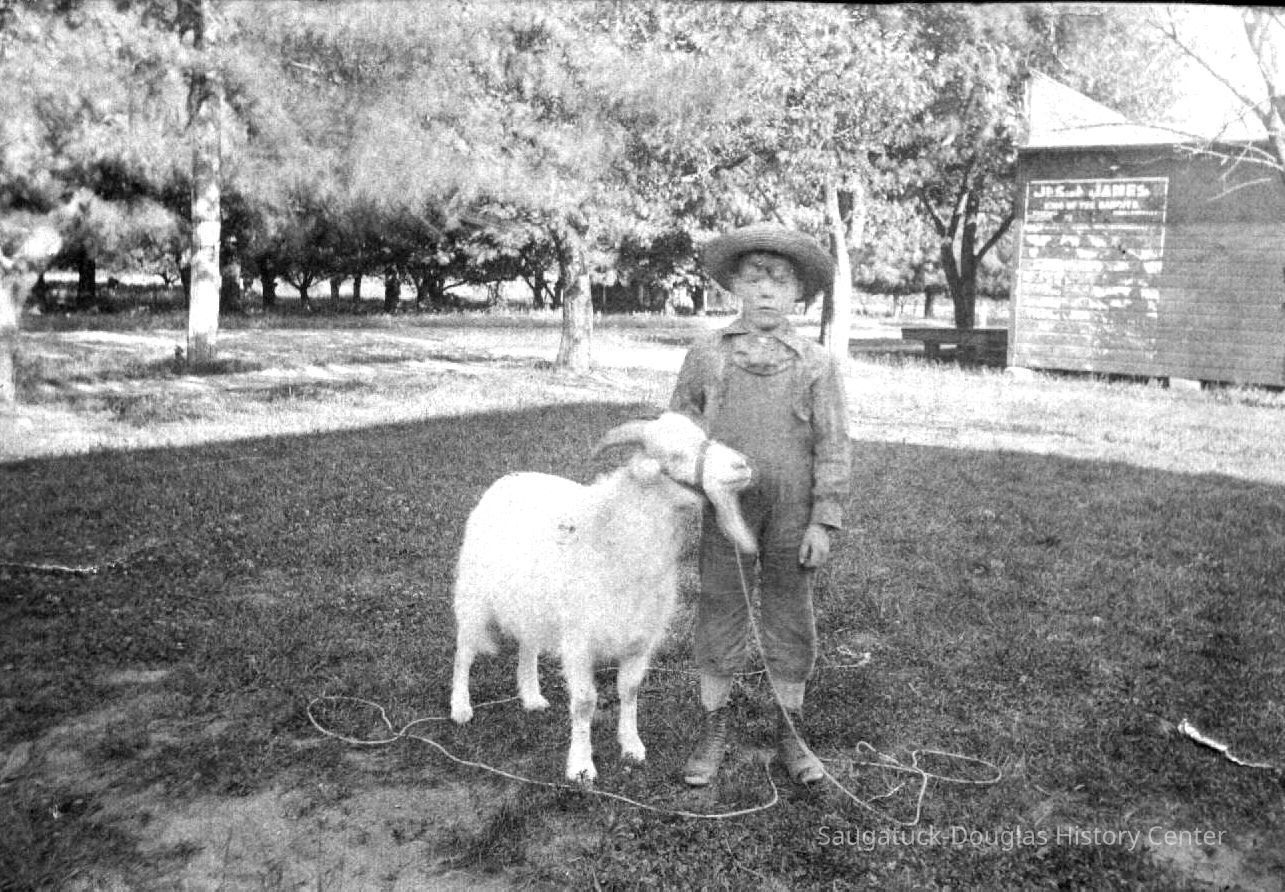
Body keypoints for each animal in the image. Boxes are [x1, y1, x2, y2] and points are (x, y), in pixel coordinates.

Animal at [449, 411, 757, 783]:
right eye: (675, 455)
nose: (742, 465)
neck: (615, 537)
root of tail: (508, 479)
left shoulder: (640, 639)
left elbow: (630, 690)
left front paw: (632, 746)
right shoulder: (579, 643)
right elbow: (584, 702)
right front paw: (581, 766)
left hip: (533, 603)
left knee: (528, 645)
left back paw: (532, 697)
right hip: (474, 596)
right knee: (464, 651)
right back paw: (460, 707)